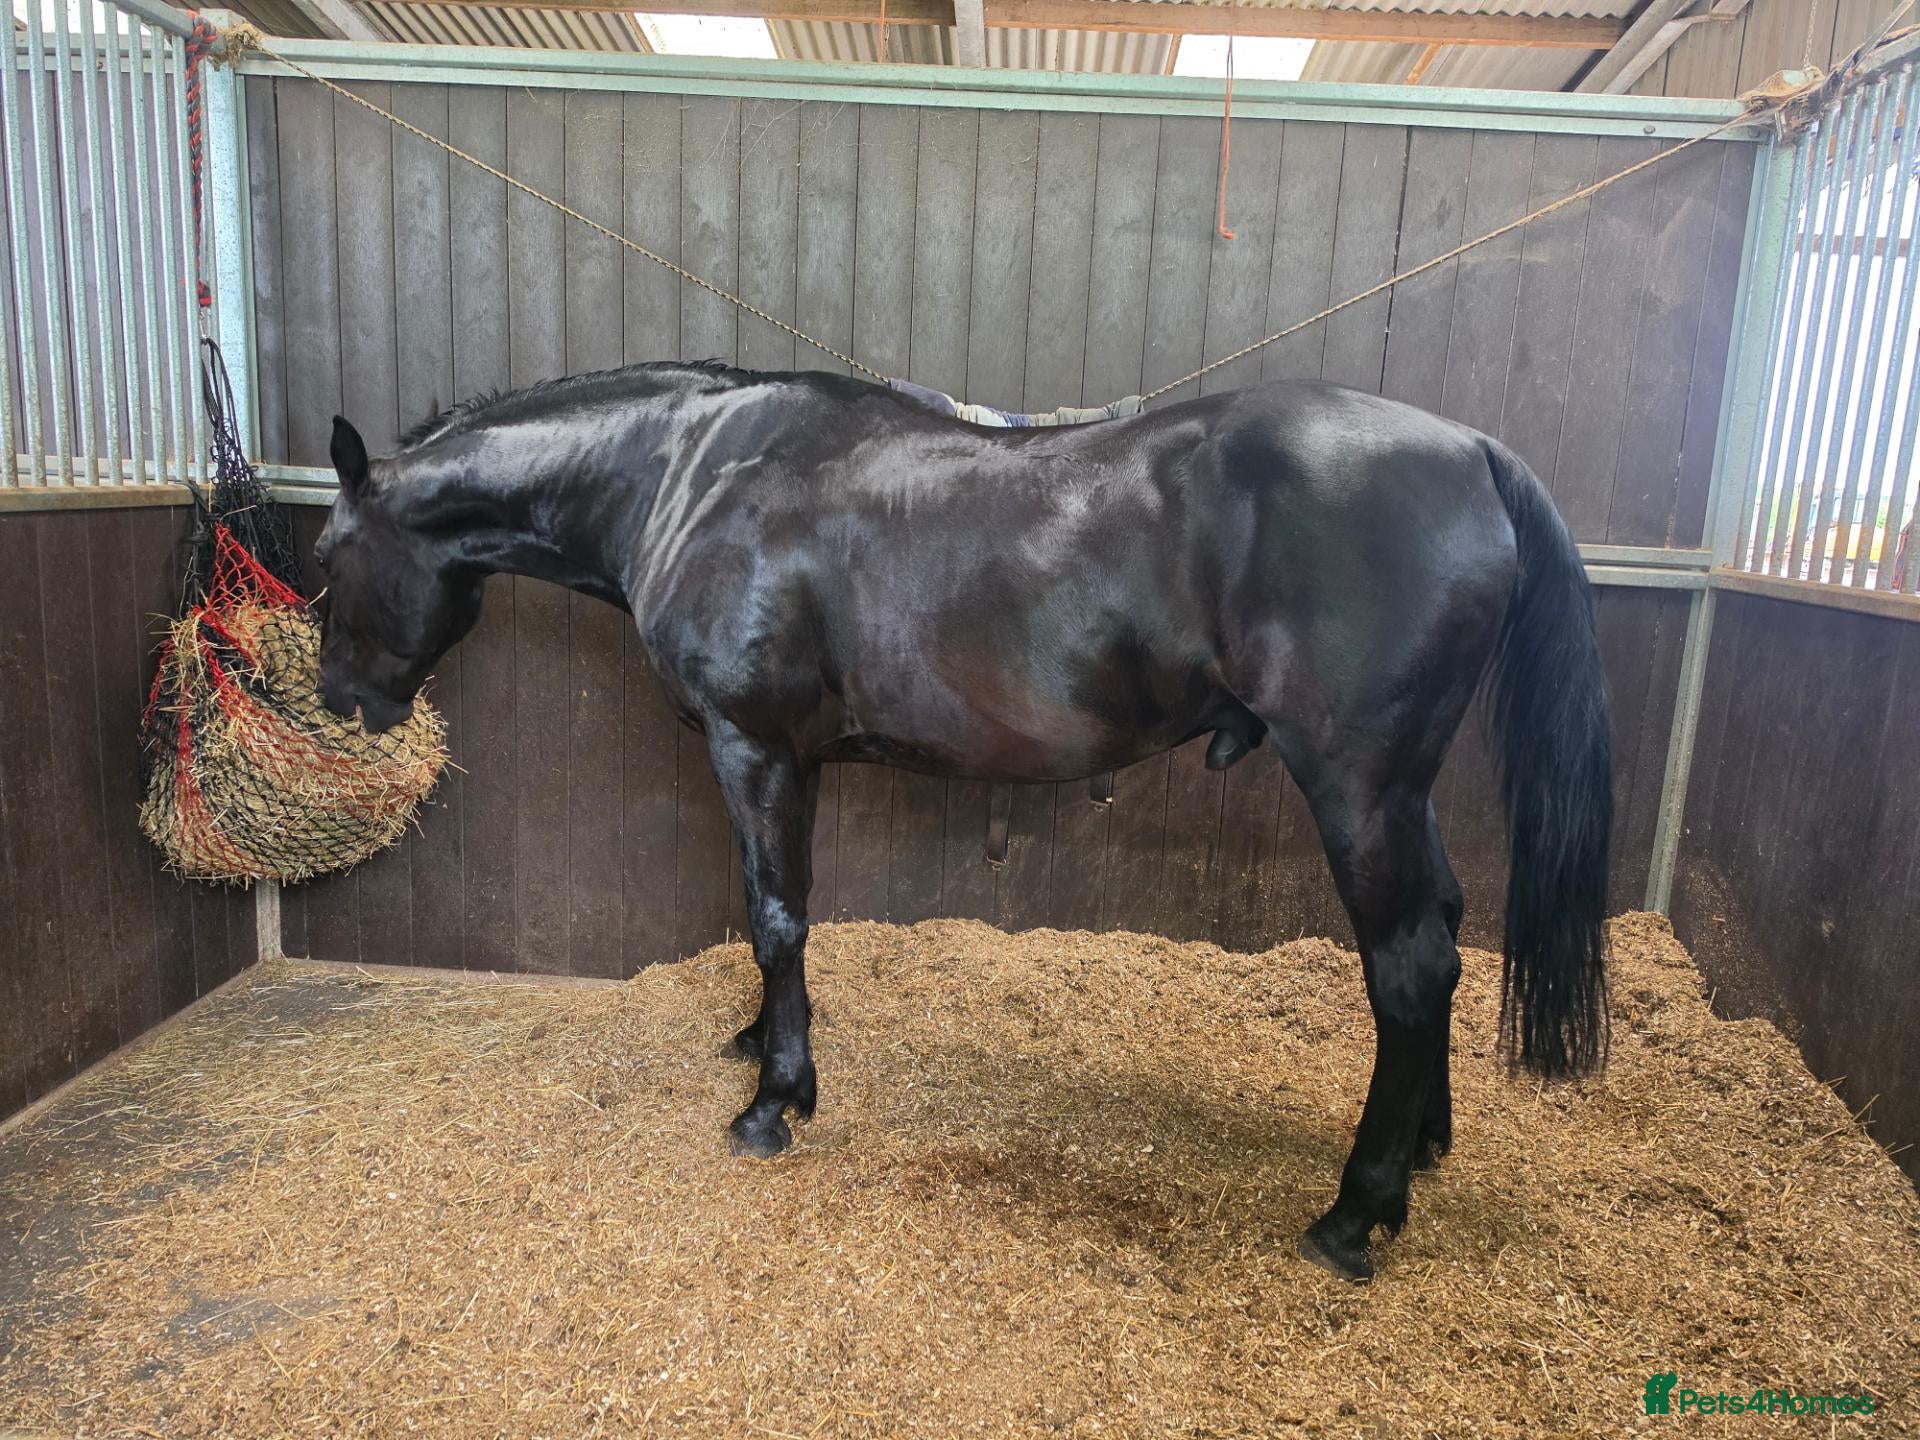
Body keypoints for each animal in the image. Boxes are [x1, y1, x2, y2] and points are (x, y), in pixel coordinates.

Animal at [316, 360, 1612, 1282]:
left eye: (329, 556)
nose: (340, 707)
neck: (692, 471)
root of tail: (1475, 453)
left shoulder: (754, 745)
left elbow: (777, 914)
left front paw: (776, 1102)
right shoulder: (779, 759)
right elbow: (768, 910)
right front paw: (756, 1043)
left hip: (1356, 783)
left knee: (1409, 967)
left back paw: (1355, 1212)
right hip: (1400, 789)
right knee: (1442, 938)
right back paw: (1424, 1149)